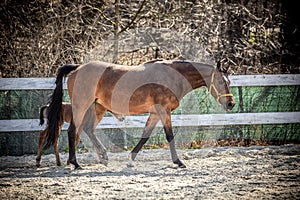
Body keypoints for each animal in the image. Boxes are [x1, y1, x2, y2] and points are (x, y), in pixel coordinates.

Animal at [45, 59, 236, 169]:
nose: (231, 104)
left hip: (97, 108)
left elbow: (145, 135)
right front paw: (178, 162)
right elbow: (169, 136)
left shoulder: (155, 113)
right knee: (73, 131)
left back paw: (102, 157)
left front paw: (130, 159)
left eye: (229, 81)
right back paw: (75, 163)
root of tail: (77, 68)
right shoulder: (164, 110)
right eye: (221, 81)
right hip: (81, 106)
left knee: (87, 129)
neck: (173, 76)